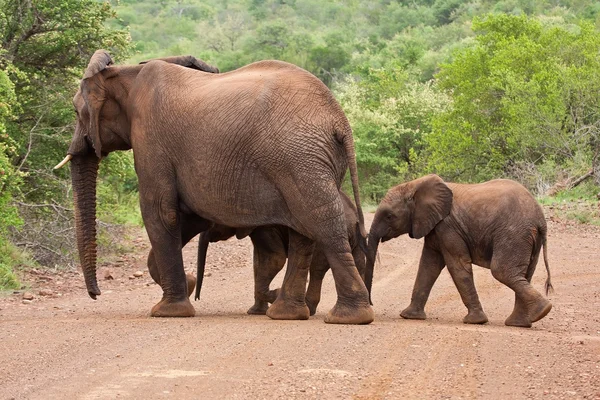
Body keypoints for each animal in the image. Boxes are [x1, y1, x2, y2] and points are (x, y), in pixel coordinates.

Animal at [57, 50, 376, 324]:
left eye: (76, 111)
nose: (95, 294)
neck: (125, 74)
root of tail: (339, 120)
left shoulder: (150, 138)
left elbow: (160, 213)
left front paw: (168, 312)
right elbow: (186, 217)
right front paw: (187, 285)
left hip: (298, 158)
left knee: (322, 225)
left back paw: (348, 317)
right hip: (305, 161)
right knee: (303, 232)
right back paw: (287, 314)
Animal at [368, 175, 556, 328]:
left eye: (389, 216)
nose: (371, 304)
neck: (414, 185)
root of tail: (541, 219)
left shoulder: (448, 227)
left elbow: (456, 265)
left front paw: (475, 321)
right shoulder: (435, 227)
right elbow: (428, 266)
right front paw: (409, 316)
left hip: (514, 234)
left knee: (502, 271)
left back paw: (542, 310)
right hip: (528, 238)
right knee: (524, 274)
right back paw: (522, 322)